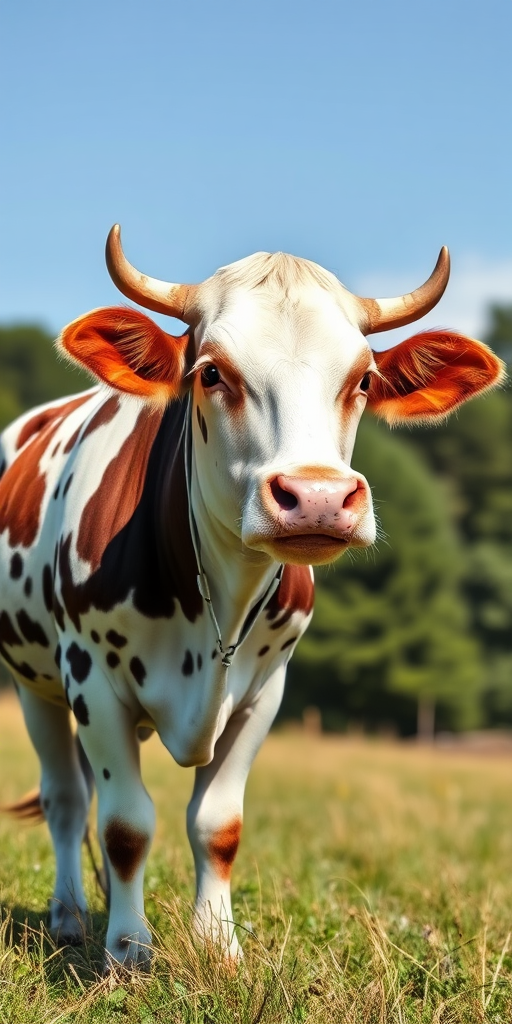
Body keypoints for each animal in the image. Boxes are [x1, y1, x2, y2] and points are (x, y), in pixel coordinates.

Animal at [0, 226, 504, 970]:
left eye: (363, 379)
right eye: (211, 373)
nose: (317, 496)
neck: (214, 604)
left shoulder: (266, 690)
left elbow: (217, 825)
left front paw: (218, 943)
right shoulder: (92, 681)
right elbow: (126, 824)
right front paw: (128, 948)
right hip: (35, 683)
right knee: (65, 799)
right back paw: (69, 915)